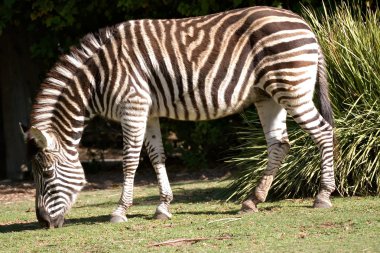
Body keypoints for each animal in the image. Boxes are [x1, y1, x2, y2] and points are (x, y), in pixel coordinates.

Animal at [21, 5, 336, 228]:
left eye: (46, 174)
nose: (43, 222)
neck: (98, 78)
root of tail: (304, 23)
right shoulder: (147, 111)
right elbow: (157, 157)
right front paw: (163, 206)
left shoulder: (133, 106)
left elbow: (130, 160)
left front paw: (120, 210)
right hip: (268, 96)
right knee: (280, 144)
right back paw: (252, 201)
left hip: (291, 88)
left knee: (323, 132)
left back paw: (323, 195)